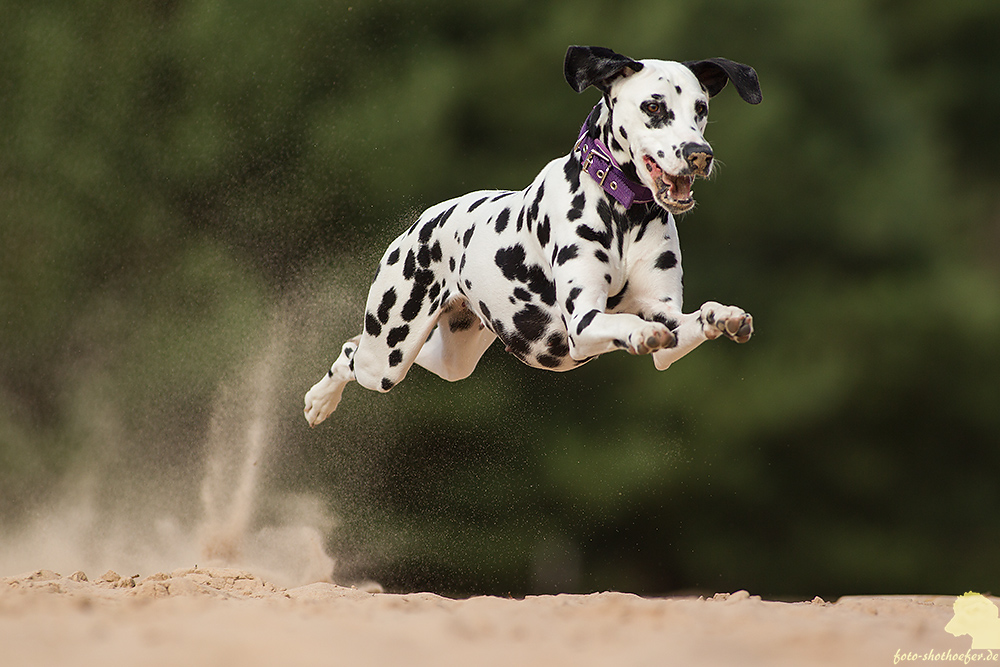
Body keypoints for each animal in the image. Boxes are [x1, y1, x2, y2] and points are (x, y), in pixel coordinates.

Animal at [300, 45, 760, 428]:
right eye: (653, 105)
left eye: (700, 108)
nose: (699, 154)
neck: (622, 213)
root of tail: (422, 222)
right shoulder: (584, 323)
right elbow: (626, 320)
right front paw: (638, 332)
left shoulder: (666, 331)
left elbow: (691, 320)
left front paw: (722, 315)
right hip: (386, 357)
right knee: (351, 353)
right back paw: (319, 400)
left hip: (453, 359)